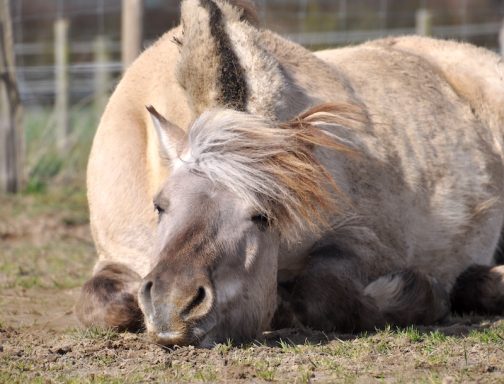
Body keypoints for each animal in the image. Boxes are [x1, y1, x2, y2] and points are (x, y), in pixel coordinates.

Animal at [75, 0, 504, 346]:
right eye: (160, 206)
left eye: (262, 217)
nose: (172, 306)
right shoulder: (117, 255)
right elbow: (106, 304)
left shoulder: (368, 241)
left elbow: (322, 293)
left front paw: (420, 293)